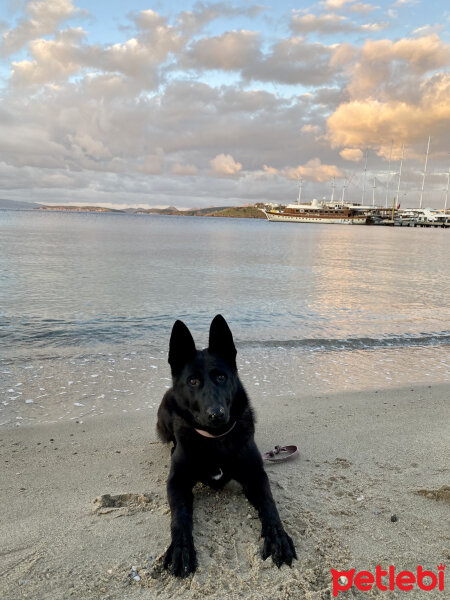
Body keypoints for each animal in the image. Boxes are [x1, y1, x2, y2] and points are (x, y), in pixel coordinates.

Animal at [156, 316, 298, 580]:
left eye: (221, 377)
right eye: (193, 381)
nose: (216, 414)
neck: (215, 440)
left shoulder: (255, 476)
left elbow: (269, 505)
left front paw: (278, 537)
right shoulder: (177, 482)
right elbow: (179, 517)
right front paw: (181, 548)